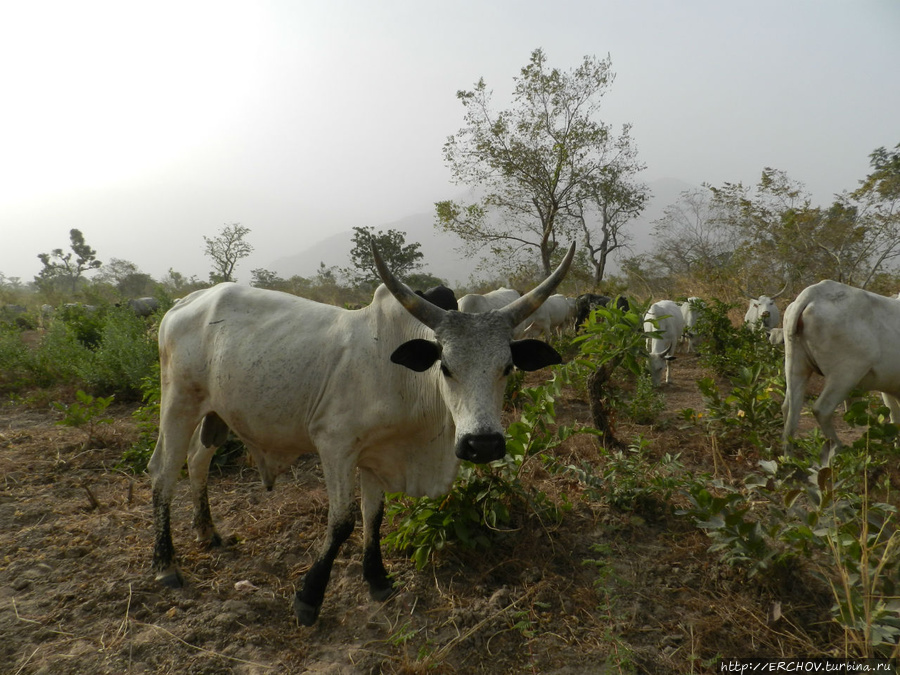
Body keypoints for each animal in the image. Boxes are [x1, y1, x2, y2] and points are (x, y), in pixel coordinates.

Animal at [780, 282, 900, 464]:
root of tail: (813, 292)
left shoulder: (889, 388)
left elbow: (894, 417)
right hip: (845, 374)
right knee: (821, 409)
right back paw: (838, 448)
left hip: (796, 365)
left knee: (789, 409)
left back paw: (789, 459)